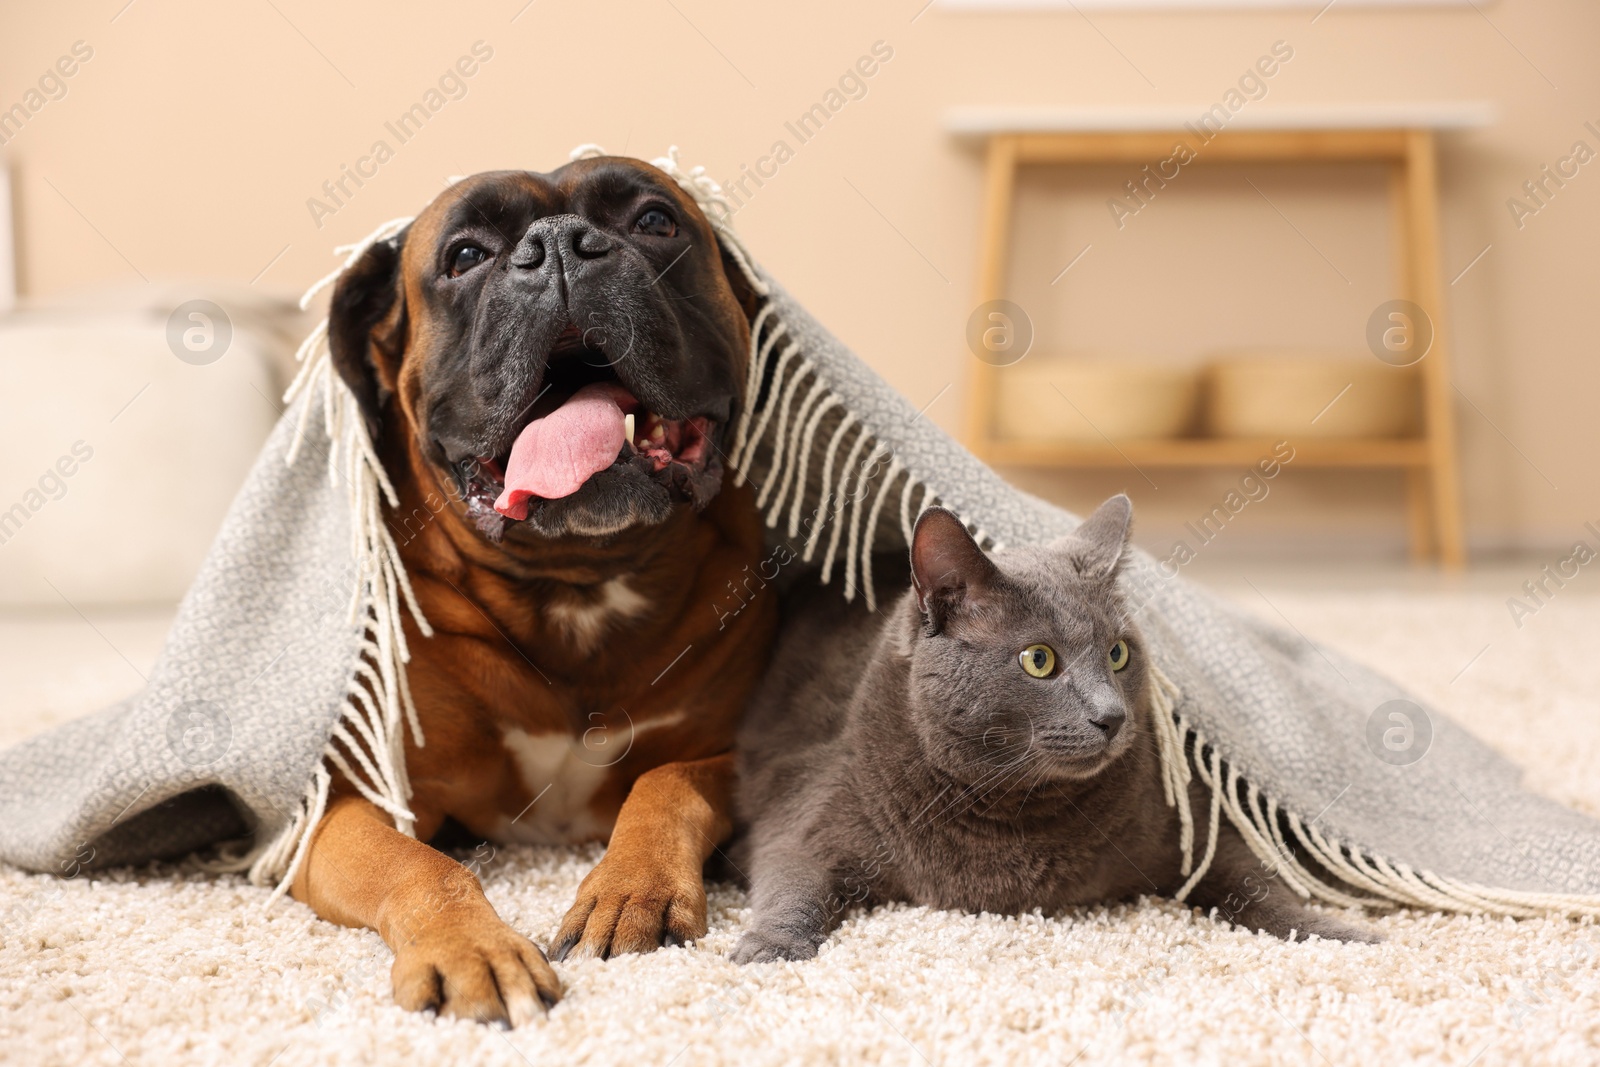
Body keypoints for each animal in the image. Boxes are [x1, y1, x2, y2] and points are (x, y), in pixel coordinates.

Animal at [297, 160, 784, 1023]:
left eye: (655, 220)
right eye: (464, 255)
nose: (560, 245)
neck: (576, 580)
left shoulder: (734, 749)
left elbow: (666, 783)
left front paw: (631, 889)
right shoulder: (349, 806)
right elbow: (419, 864)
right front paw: (471, 947)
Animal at [732, 495, 1376, 966]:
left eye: (1118, 653)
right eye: (1038, 660)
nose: (1112, 715)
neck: (1012, 813)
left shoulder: (1194, 824)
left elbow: (1259, 884)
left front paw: (1343, 934)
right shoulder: (805, 805)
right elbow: (789, 878)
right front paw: (769, 948)